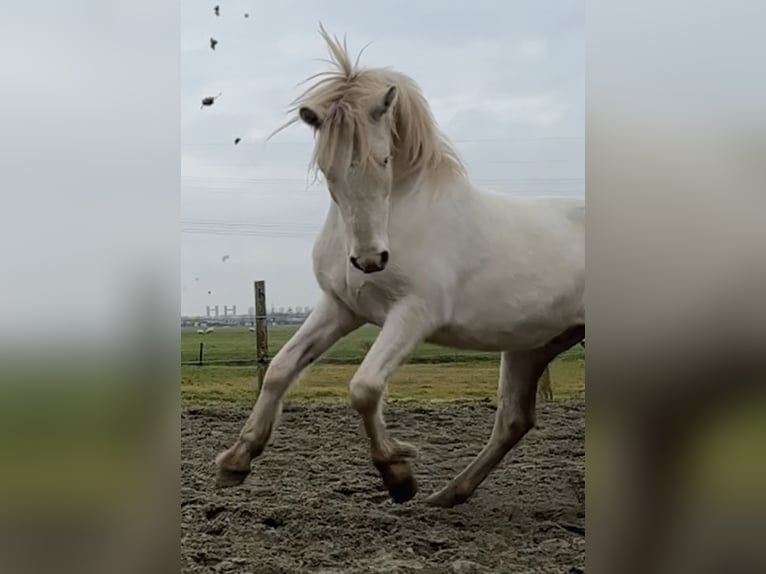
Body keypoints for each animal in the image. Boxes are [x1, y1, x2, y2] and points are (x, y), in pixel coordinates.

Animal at [215, 26, 584, 508]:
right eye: (327, 168)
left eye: (385, 159)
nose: (371, 260)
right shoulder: (341, 307)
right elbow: (279, 370)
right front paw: (237, 460)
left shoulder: (413, 314)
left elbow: (365, 388)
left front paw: (398, 474)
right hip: (532, 346)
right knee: (513, 420)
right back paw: (449, 495)